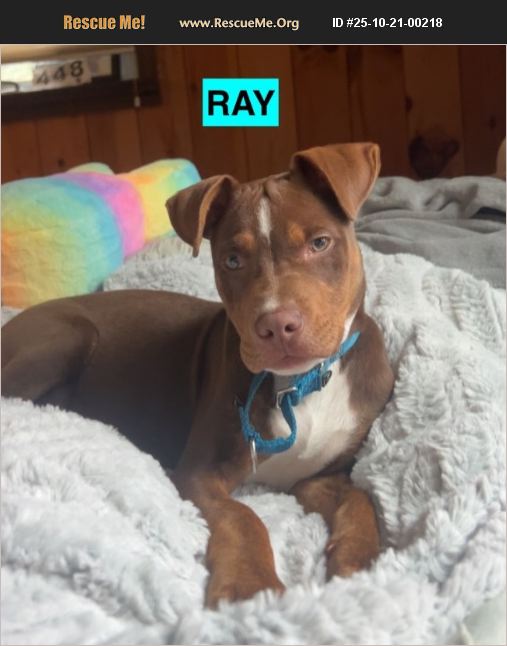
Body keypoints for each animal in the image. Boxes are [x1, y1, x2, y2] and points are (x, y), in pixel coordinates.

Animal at [2, 142, 394, 608]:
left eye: (320, 243)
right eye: (232, 260)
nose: (276, 325)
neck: (296, 385)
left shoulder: (319, 476)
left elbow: (360, 496)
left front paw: (359, 561)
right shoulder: (199, 474)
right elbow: (242, 515)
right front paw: (250, 586)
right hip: (67, 336)